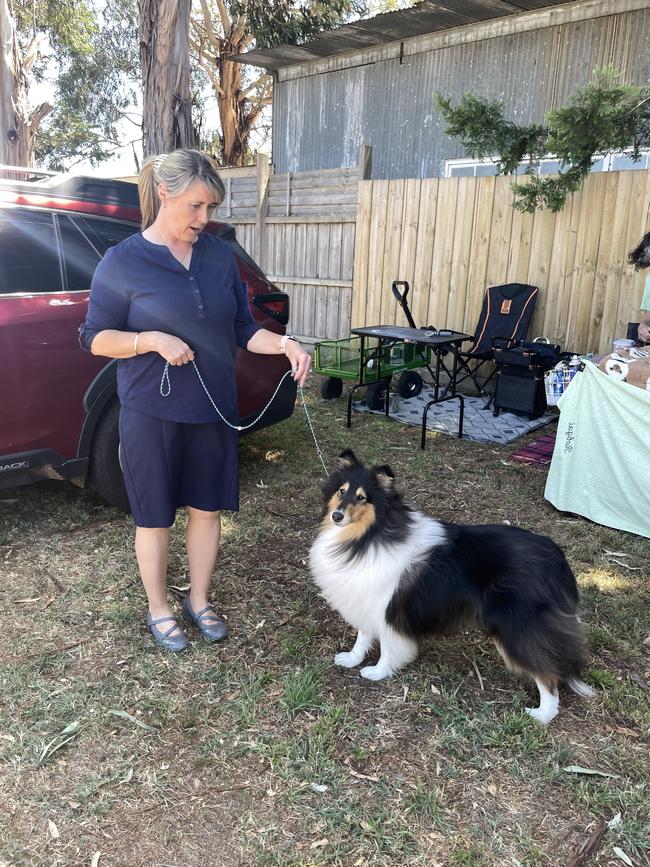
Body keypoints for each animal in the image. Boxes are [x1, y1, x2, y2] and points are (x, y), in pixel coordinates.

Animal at [308, 450, 592, 724]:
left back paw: (543, 714)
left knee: (547, 673)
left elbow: (388, 646)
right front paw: (351, 659)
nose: (336, 516)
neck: (368, 536)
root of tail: (556, 557)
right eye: (341, 491)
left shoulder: (388, 609)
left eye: (362, 498)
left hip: (518, 626)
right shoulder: (366, 598)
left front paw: (378, 671)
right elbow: (363, 636)